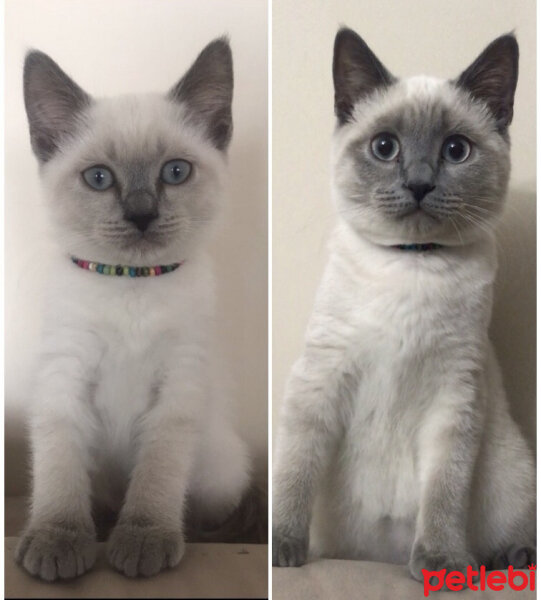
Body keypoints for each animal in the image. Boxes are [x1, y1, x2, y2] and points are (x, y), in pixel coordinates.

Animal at [15, 37, 252, 580]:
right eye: (99, 178)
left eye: (175, 172)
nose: (141, 214)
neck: (131, 283)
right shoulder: (65, 379)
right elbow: (59, 474)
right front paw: (58, 540)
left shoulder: (178, 386)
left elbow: (157, 475)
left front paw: (145, 539)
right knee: (98, 502)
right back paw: (98, 529)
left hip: (219, 469)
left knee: (208, 512)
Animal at [272, 25, 532, 584]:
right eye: (385, 147)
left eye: (456, 150)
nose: (418, 184)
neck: (411, 263)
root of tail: (380, 557)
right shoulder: (320, 380)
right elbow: (293, 472)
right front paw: (283, 549)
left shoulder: (455, 397)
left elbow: (443, 495)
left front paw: (441, 565)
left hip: (513, 476)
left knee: (509, 532)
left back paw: (507, 559)